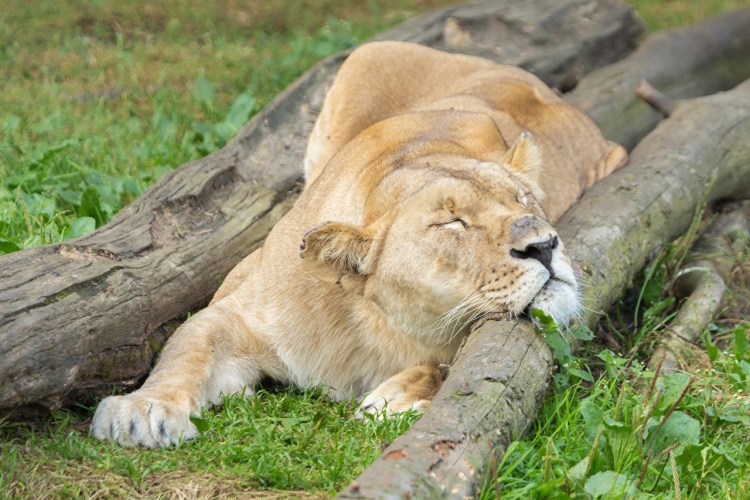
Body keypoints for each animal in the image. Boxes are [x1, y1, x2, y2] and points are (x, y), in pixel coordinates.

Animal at [91, 41, 626, 447]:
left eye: (525, 199)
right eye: (452, 223)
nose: (545, 245)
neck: (372, 326)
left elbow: (444, 365)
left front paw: (398, 398)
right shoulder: (237, 307)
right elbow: (185, 347)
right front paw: (143, 411)